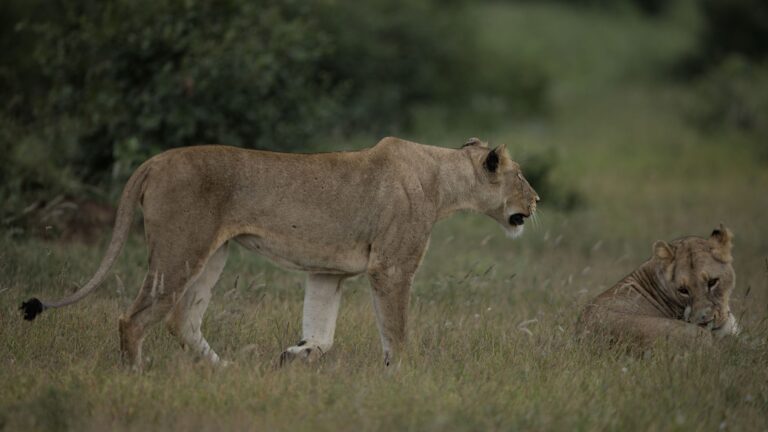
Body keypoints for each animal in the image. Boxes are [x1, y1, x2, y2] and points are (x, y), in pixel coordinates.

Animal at [20, 136, 539, 369]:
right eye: (520, 177)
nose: (536, 201)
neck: (444, 180)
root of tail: (155, 159)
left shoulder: (328, 273)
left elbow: (322, 332)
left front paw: (294, 354)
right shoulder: (391, 269)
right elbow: (397, 332)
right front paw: (404, 378)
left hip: (213, 254)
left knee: (181, 320)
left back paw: (225, 372)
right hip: (179, 251)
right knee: (134, 318)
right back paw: (137, 375)